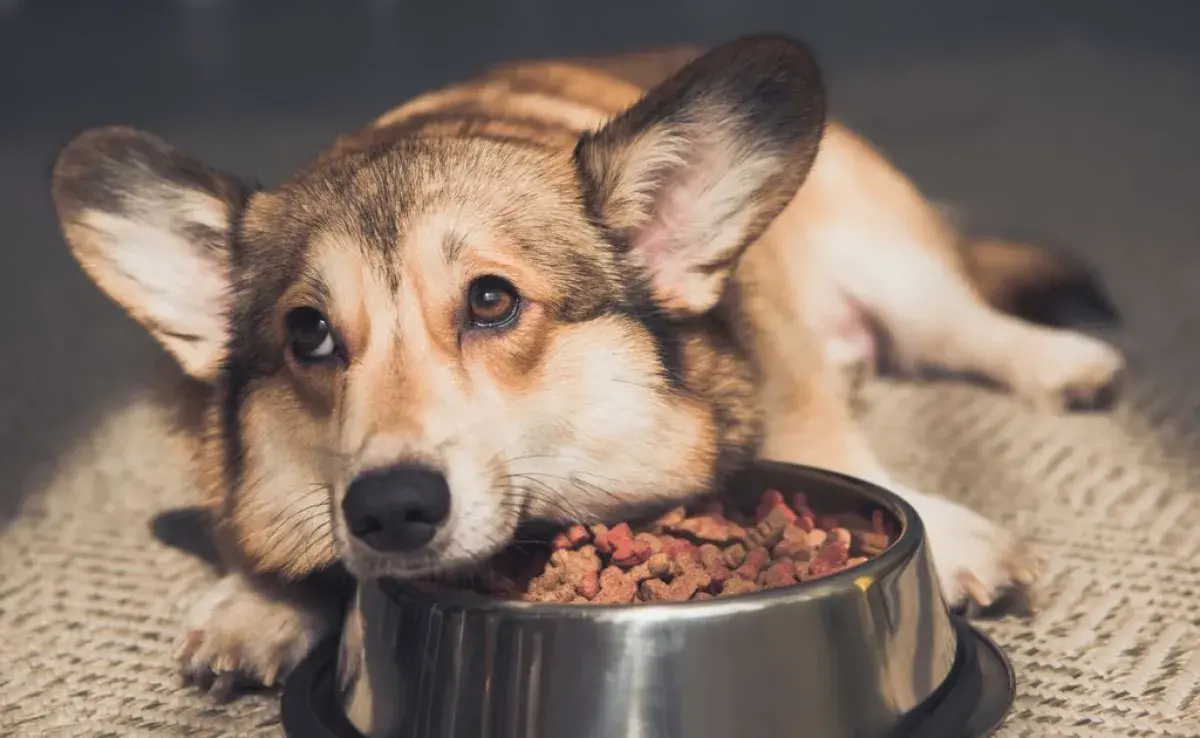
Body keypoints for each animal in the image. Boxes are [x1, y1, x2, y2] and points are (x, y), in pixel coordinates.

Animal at [51, 34, 1118, 696]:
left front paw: (953, 536)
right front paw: (259, 606)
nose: (390, 510)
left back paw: (1063, 362)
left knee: (963, 322)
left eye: (491, 301)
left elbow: (836, 444)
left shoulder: (784, 359)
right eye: (310, 334)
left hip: (886, 255)